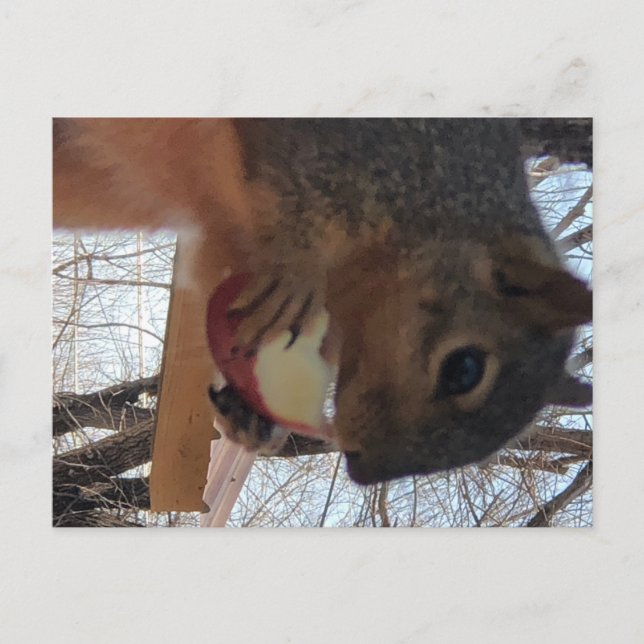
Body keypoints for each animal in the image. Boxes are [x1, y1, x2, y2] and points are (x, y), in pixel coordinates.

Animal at [53, 118, 592, 484]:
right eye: (464, 369)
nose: (360, 470)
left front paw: (250, 418)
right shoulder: (352, 148)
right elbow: (297, 194)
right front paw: (297, 272)